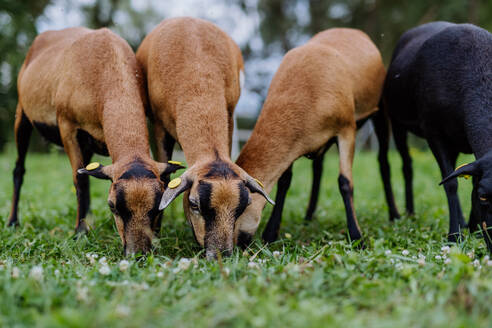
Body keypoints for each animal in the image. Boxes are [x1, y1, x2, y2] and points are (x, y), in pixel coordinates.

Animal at [8, 26, 183, 255]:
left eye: (157, 207)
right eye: (112, 206)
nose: (138, 254)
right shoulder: (67, 126)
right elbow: (80, 180)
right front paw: (80, 234)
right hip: (22, 115)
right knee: (19, 169)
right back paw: (13, 222)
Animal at [135, 17, 272, 258]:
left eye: (241, 208)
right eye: (195, 204)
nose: (221, 255)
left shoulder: (229, 115)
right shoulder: (159, 127)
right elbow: (165, 179)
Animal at [235, 27, 388, 243]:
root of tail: (351, 30)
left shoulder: (347, 130)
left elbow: (345, 182)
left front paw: (357, 237)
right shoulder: (294, 144)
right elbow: (284, 182)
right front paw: (271, 233)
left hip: (379, 111)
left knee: (383, 161)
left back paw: (395, 215)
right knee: (318, 168)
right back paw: (309, 215)